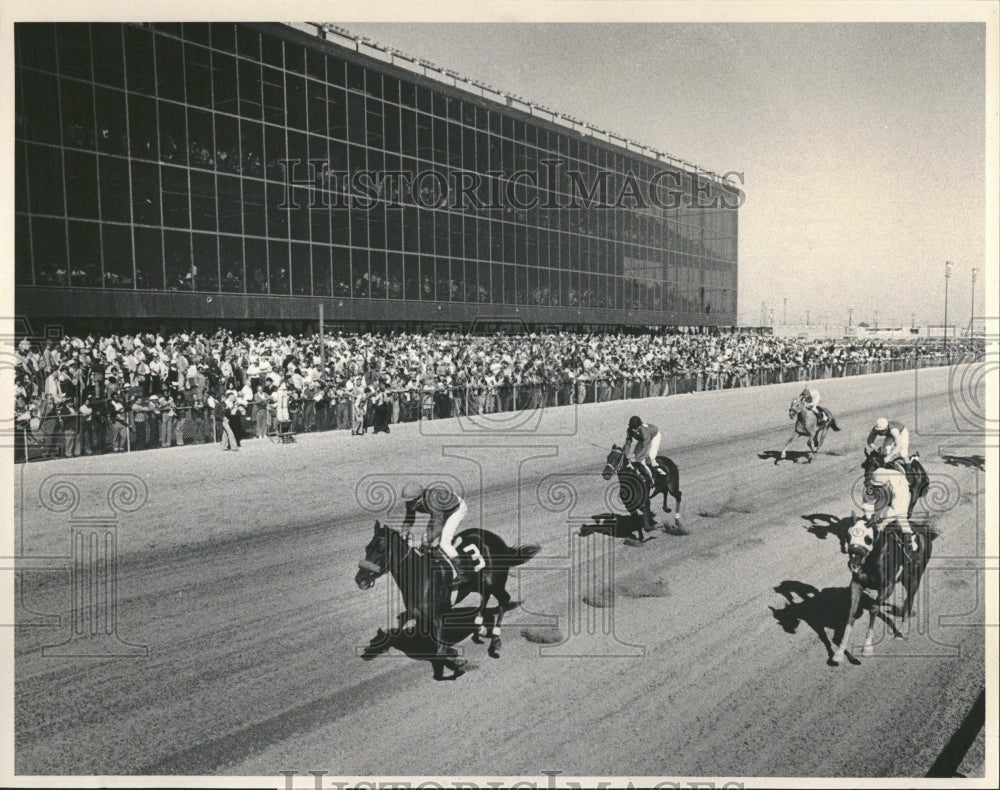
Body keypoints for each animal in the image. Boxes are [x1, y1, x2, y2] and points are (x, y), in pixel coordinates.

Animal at [354, 520, 540, 680]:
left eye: (380, 549)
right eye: (366, 548)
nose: (360, 578)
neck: (420, 577)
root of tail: (496, 539)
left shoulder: (439, 617)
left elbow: (439, 653)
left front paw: (460, 663)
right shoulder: (424, 620)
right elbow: (437, 645)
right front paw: (454, 654)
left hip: (495, 582)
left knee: (504, 600)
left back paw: (495, 641)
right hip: (477, 584)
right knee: (485, 598)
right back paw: (479, 627)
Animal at [828, 516, 928, 664]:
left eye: (868, 539)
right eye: (848, 536)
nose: (854, 563)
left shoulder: (887, 587)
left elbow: (874, 609)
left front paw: (867, 647)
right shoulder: (857, 584)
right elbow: (852, 612)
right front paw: (839, 652)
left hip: (914, 580)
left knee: (909, 601)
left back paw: (900, 632)